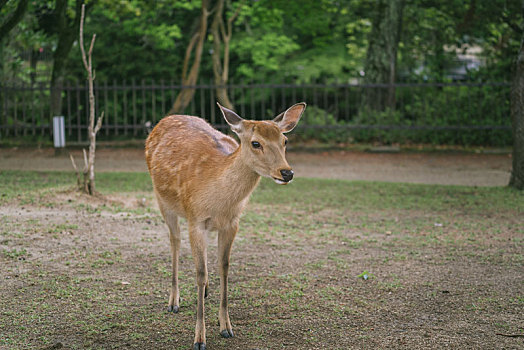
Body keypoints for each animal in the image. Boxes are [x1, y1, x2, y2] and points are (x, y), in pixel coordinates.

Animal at [145, 100, 304, 348]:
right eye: (255, 143)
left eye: (285, 140)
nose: (286, 172)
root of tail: (165, 119)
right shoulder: (196, 220)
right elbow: (199, 273)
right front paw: (199, 338)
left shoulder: (232, 222)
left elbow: (225, 267)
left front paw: (226, 326)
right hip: (162, 199)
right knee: (175, 241)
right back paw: (173, 301)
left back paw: (206, 291)